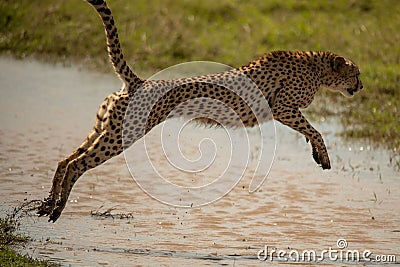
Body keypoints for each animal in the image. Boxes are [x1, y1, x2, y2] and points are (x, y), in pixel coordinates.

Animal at [37, 0, 362, 224]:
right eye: (356, 72)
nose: (360, 86)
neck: (317, 68)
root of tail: (138, 82)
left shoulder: (285, 110)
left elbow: (310, 130)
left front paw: (316, 153)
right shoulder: (282, 107)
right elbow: (315, 129)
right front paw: (323, 156)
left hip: (104, 128)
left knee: (65, 160)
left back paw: (48, 204)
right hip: (121, 136)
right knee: (77, 164)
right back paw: (57, 209)